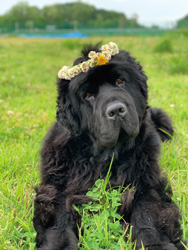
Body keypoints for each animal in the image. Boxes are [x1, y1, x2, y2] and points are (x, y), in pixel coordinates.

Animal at [33, 43, 185, 250]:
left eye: (120, 81)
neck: (104, 156)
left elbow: (148, 213)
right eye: (88, 95)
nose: (116, 110)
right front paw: (61, 244)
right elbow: (59, 215)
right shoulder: (56, 185)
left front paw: (154, 243)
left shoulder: (147, 181)